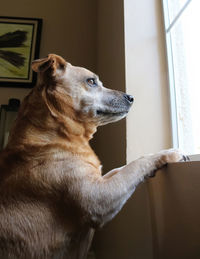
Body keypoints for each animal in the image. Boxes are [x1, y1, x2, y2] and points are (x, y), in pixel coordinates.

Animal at [0, 53, 185, 258]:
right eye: (91, 81)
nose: (131, 97)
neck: (57, 134)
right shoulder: (98, 198)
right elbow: (135, 165)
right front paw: (170, 153)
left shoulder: (101, 178)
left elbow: (123, 167)